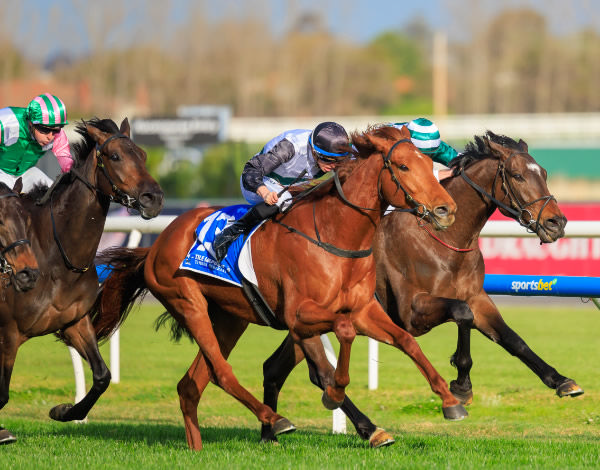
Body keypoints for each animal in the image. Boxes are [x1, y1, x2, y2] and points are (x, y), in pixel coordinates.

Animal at [0, 117, 164, 444]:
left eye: (142, 155)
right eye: (115, 156)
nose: (154, 198)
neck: (54, 255)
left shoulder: (74, 321)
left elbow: (102, 376)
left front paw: (65, 411)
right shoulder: (9, 331)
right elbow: (1, 393)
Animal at [92, 125, 464, 452]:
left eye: (429, 163)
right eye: (403, 166)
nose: (447, 209)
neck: (335, 235)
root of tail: (156, 245)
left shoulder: (363, 309)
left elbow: (405, 341)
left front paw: (451, 400)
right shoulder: (299, 314)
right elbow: (342, 334)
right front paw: (336, 395)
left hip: (229, 319)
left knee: (192, 384)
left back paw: (197, 447)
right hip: (188, 304)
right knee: (221, 372)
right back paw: (275, 419)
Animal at [258, 131, 576, 444]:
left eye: (543, 173)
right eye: (518, 175)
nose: (556, 222)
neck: (445, 239)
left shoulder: (478, 298)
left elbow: (512, 339)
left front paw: (562, 381)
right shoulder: (413, 311)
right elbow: (462, 314)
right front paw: (461, 385)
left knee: (274, 368)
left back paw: (271, 431)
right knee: (319, 375)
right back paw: (363, 429)